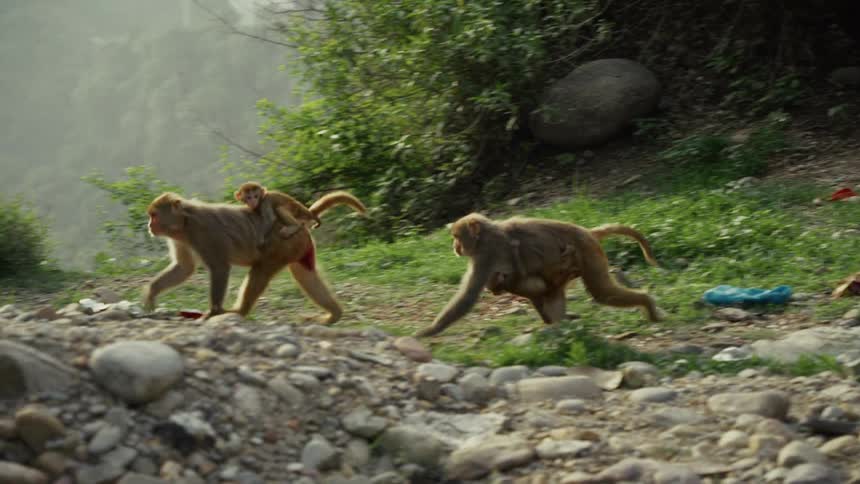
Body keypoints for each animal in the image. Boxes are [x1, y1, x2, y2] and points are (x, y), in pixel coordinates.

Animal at [143, 190, 367, 323]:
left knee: (261, 271)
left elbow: (219, 267)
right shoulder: (180, 238)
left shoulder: (203, 231)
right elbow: (184, 267)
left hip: (282, 246)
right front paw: (151, 293)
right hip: (298, 248)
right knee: (306, 275)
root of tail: (297, 222)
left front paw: (214, 312)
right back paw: (334, 315)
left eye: (154, 215)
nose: (149, 225)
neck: (185, 222)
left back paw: (239, 312)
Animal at [416, 213, 662, 337]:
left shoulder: (486, 253)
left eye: (457, 237)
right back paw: (560, 324)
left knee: (601, 292)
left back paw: (646, 302)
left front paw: (428, 331)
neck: (486, 234)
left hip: (588, 254)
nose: (455, 247)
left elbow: (467, 297)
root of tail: (587, 232)